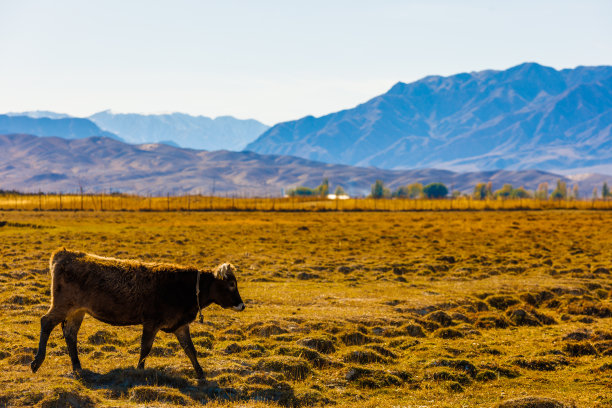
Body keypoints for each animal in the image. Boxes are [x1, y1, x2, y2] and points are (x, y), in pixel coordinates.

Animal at [29, 249, 244, 380]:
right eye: (231, 284)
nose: (241, 305)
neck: (186, 287)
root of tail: (64, 254)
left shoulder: (180, 325)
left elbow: (190, 349)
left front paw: (201, 373)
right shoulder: (151, 322)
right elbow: (145, 348)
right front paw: (139, 371)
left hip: (77, 311)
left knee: (70, 334)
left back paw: (77, 366)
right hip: (63, 305)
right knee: (46, 322)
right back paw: (37, 361)